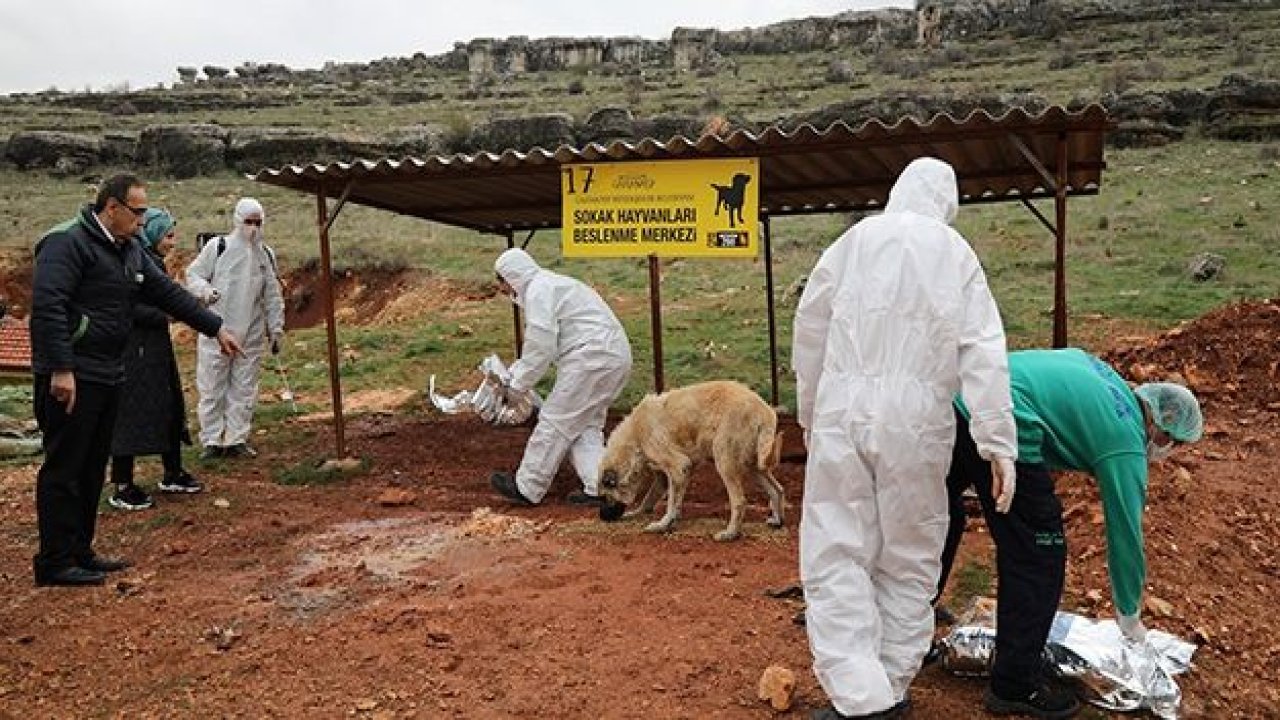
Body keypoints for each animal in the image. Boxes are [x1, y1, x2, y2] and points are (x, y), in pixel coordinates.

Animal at [596, 381, 778, 538]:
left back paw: (731, 533)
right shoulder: (674, 473)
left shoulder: (677, 466)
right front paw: (644, 514)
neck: (634, 435)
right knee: (777, 489)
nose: (603, 518)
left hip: (725, 462)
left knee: (740, 501)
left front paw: (663, 524)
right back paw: (777, 520)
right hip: (754, 466)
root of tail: (765, 411)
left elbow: (670, 503)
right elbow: (655, 499)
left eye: (605, 497)